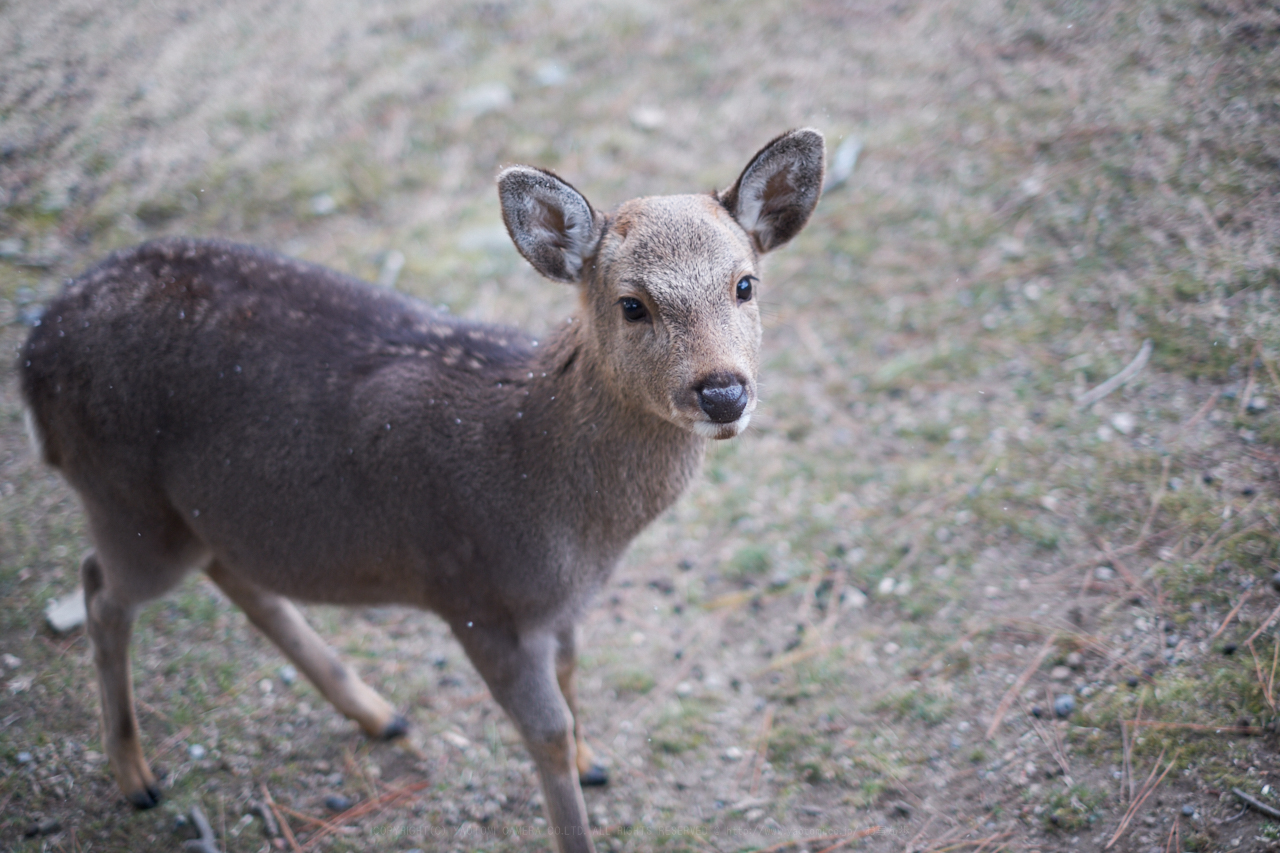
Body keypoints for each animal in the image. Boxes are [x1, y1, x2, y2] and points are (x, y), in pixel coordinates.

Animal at [22, 129, 829, 845]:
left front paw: (593, 761)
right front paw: (576, 801)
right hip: (125, 498)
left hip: (198, 513)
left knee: (233, 573)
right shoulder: (477, 598)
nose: (722, 392)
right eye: (632, 304)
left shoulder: (560, 607)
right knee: (100, 588)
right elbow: (545, 731)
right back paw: (137, 778)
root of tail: (31, 362)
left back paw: (377, 713)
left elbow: (573, 678)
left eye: (745, 283)